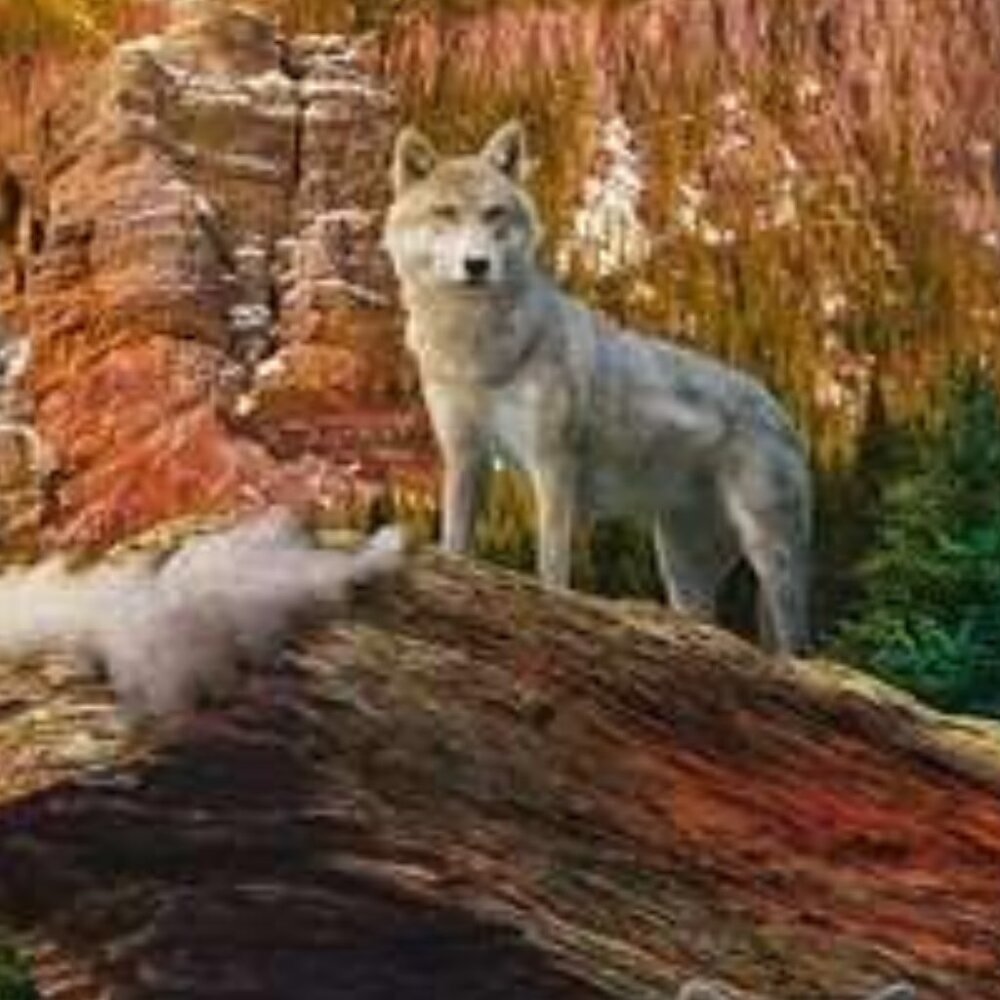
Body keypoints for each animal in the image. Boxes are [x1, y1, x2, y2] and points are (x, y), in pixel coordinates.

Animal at [383, 121, 811, 653]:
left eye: (493, 214)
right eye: (445, 213)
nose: (477, 265)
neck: (476, 348)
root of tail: (781, 407)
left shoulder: (553, 464)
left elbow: (551, 564)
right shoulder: (466, 456)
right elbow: (457, 543)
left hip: (771, 557)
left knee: (794, 643)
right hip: (681, 568)